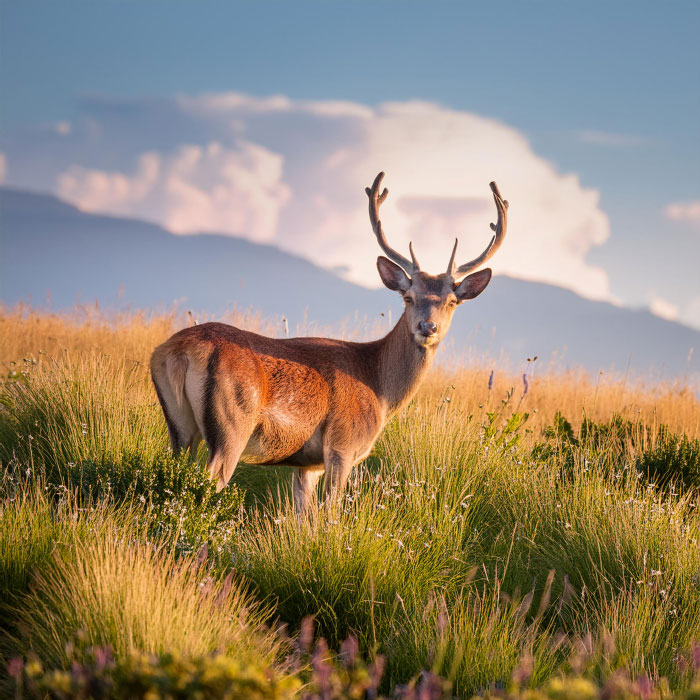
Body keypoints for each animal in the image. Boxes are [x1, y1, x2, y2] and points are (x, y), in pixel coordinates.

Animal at [149, 174, 508, 516]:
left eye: (452, 302)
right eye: (407, 296)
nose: (427, 327)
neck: (380, 389)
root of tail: (180, 351)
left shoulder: (308, 464)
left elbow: (304, 519)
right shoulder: (342, 445)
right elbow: (330, 512)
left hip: (179, 428)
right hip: (232, 425)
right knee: (206, 483)